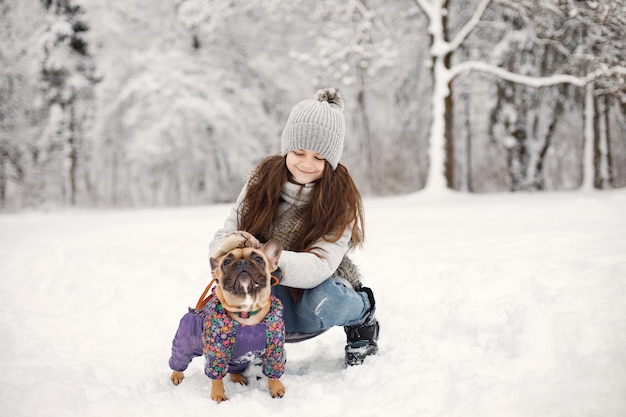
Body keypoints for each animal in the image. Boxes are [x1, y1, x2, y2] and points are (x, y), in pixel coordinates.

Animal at [166, 236, 282, 402]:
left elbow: (274, 369)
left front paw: (277, 388)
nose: (242, 262)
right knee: (179, 358)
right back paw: (176, 375)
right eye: (226, 262)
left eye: (258, 259)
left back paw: (237, 378)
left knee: (234, 368)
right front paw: (218, 395)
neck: (246, 312)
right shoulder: (217, 352)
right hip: (186, 342)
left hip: (239, 358)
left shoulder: (275, 349)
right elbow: (216, 376)